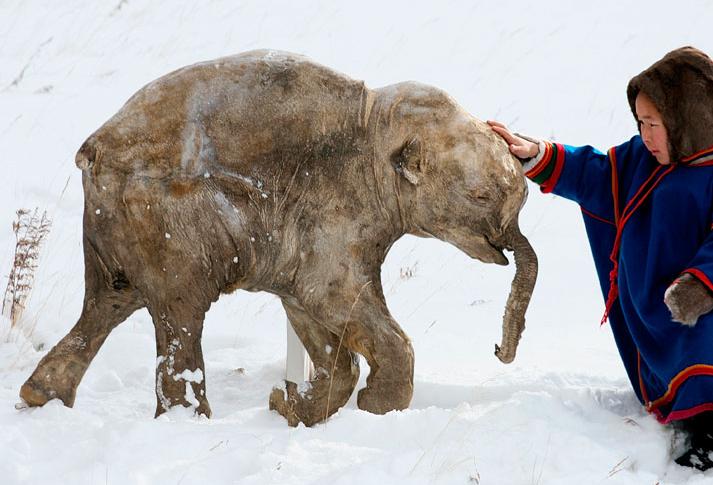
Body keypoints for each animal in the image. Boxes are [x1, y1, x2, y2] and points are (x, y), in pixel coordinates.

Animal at [19, 50, 537, 426]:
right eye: (481, 195)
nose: (497, 351)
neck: (380, 122)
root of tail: (92, 151)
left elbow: (309, 309)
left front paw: (293, 407)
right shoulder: (338, 210)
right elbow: (331, 295)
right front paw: (369, 408)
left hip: (118, 223)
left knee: (109, 302)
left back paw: (38, 397)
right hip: (159, 220)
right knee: (180, 312)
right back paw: (189, 424)